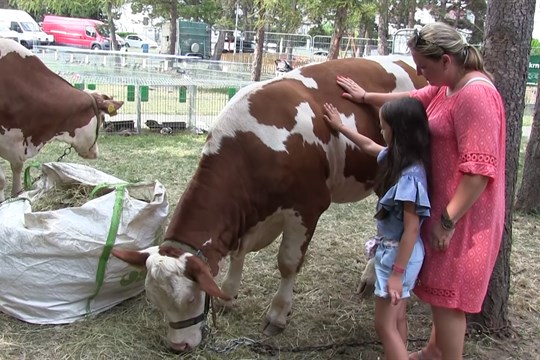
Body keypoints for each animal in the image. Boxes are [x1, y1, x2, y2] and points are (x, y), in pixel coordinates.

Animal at [113, 56, 426, 352]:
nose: (179, 347)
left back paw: (374, 278)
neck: (253, 147)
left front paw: (277, 315)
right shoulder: (249, 214)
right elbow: (238, 253)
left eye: (191, 298)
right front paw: (228, 296)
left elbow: (287, 263)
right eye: (155, 300)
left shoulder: (308, 207)